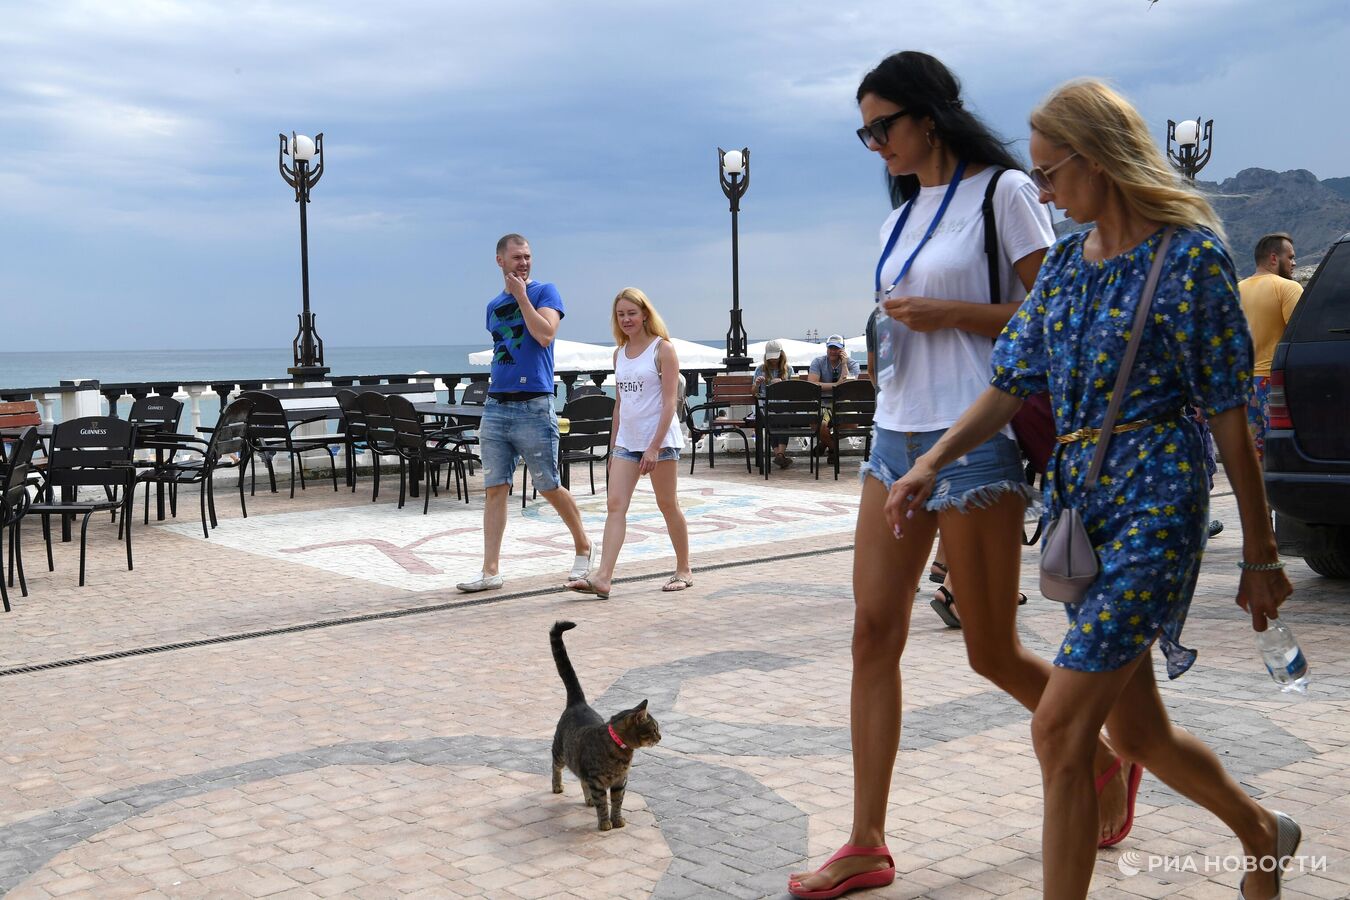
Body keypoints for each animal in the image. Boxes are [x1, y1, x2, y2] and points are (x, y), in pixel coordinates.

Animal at [550, 620, 661, 831]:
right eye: (654, 728)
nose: (660, 737)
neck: (620, 750)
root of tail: (578, 702)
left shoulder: (620, 781)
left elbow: (617, 802)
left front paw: (617, 820)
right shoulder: (597, 781)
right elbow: (602, 803)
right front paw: (604, 823)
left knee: (581, 781)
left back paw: (587, 800)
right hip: (561, 752)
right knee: (555, 766)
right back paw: (557, 786)